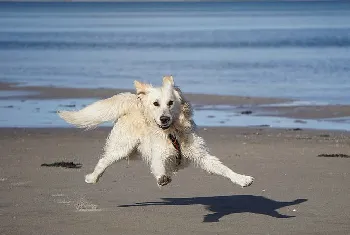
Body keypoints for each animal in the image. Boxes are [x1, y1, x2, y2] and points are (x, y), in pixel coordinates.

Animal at [58, 76, 254, 188]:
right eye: (156, 104)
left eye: (170, 103)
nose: (164, 119)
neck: (173, 133)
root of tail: (134, 102)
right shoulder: (158, 154)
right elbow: (159, 166)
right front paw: (162, 178)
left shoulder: (202, 156)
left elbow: (223, 168)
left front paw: (241, 179)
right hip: (122, 147)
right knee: (103, 160)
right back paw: (92, 178)